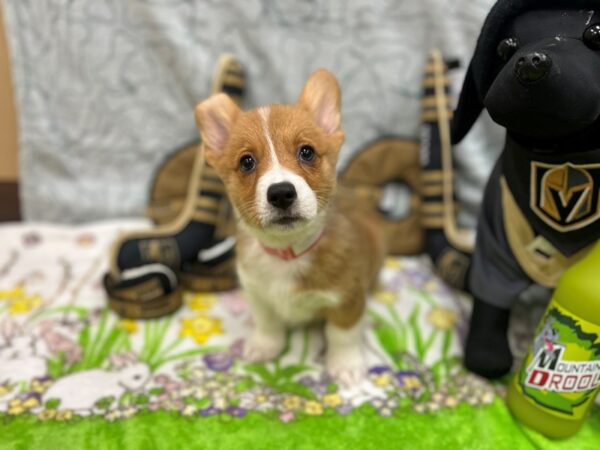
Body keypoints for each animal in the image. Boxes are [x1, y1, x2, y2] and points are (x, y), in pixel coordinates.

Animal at [196, 69, 384, 384]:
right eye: (246, 162)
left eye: (306, 152)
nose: (281, 193)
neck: (287, 253)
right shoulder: (257, 293)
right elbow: (268, 322)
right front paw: (264, 345)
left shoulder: (347, 299)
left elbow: (342, 334)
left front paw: (345, 364)